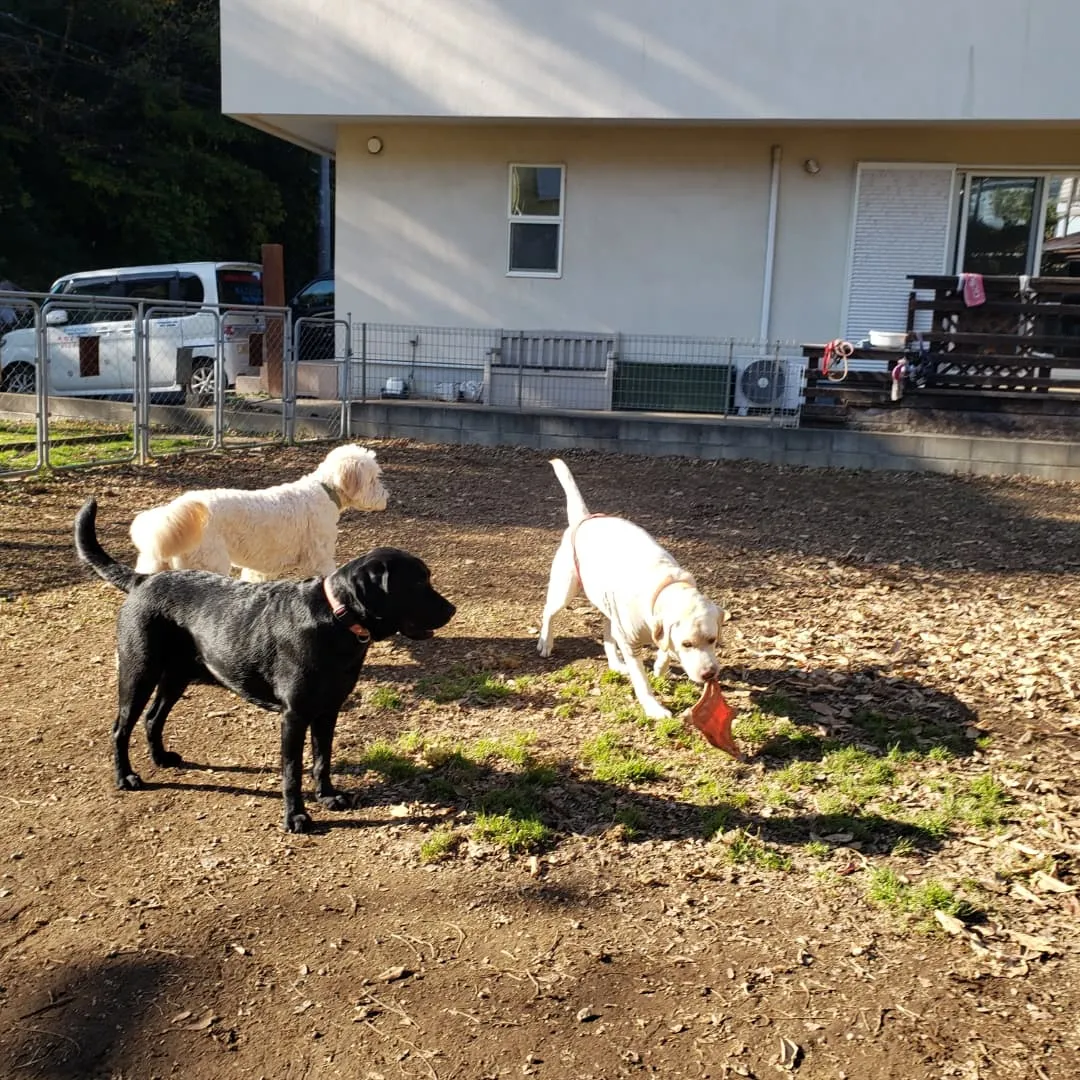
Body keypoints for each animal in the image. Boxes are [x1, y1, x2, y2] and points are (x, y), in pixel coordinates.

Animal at [75, 498, 455, 833]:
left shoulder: (328, 711)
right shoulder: (294, 716)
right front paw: (297, 817)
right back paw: (125, 777)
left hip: (177, 676)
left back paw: (162, 758)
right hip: (138, 673)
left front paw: (328, 796)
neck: (335, 619)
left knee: (154, 718)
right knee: (120, 728)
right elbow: (292, 772)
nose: (452, 610)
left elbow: (322, 760)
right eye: (418, 582)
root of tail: (143, 580)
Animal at [127, 442, 388, 583]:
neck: (324, 490)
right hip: (210, 563)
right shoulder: (319, 557)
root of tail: (177, 510)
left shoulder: (259, 568)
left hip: (155, 565)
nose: (387, 496)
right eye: (374, 479)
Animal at [535, 455, 721, 717]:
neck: (663, 587)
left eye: (713, 640)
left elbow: (663, 648)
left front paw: (660, 667)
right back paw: (545, 642)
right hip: (565, 590)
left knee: (607, 636)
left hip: (606, 606)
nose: (709, 674)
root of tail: (583, 519)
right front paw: (654, 709)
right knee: (549, 613)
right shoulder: (630, 643)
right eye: (687, 644)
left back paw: (615, 663)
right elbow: (641, 680)